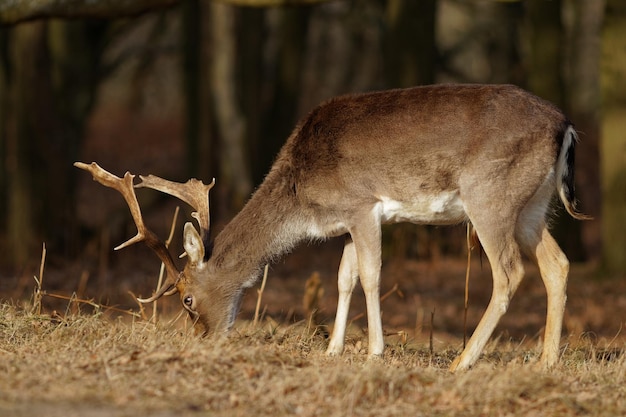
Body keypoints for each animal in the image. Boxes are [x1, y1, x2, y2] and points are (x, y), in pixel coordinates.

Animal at [75, 83, 588, 370]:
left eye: (185, 298)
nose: (203, 340)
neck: (304, 201)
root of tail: (565, 125)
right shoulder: (346, 222)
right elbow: (344, 278)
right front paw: (333, 351)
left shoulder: (363, 205)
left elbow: (372, 276)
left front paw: (374, 352)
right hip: (533, 206)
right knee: (558, 264)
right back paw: (546, 363)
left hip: (490, 197)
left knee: (509, 272)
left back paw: (461, 363)